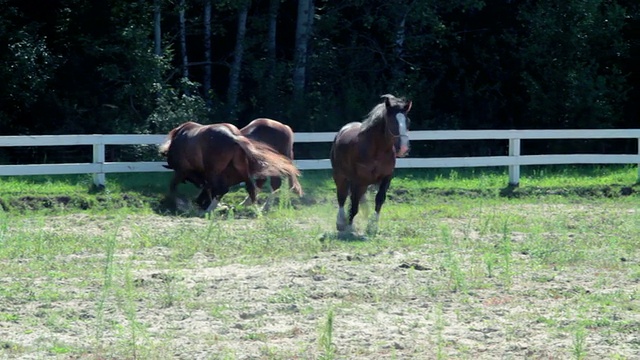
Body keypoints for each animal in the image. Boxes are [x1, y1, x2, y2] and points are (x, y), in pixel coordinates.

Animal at [159, 121, 302, 212]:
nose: (199, 203)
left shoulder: (182, 170)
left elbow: (173, 186)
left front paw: (176, 203)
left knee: (273, 184)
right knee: (256, 185)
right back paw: (249, 205)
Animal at [328, 93, 412, 233]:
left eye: (407, 121)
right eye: (391, 120)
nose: (404, 148)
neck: (376, 151)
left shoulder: (386, 177)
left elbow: (379, 199)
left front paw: (372, 226)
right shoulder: (357, 180)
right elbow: (354, 202)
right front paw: (349, 226)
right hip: (340, 175)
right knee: (342, 196)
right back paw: (341, 222)